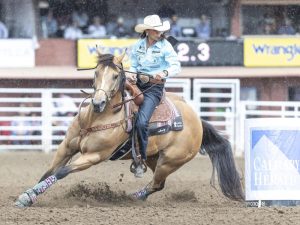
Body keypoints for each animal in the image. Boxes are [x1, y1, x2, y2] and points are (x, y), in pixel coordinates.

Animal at [14, 51, 244, 207]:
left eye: (116, 76)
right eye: (96, 73)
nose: (98, 102)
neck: (95, 120)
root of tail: (197, 120)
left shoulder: (94, 156)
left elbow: (61, 172)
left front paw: (27, 197)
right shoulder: (66, 148)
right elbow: (48, 172)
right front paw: (28, 195)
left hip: (171, 161)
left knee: (157, 184)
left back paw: (131, 198)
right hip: (153, 156)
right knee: (158, 183)